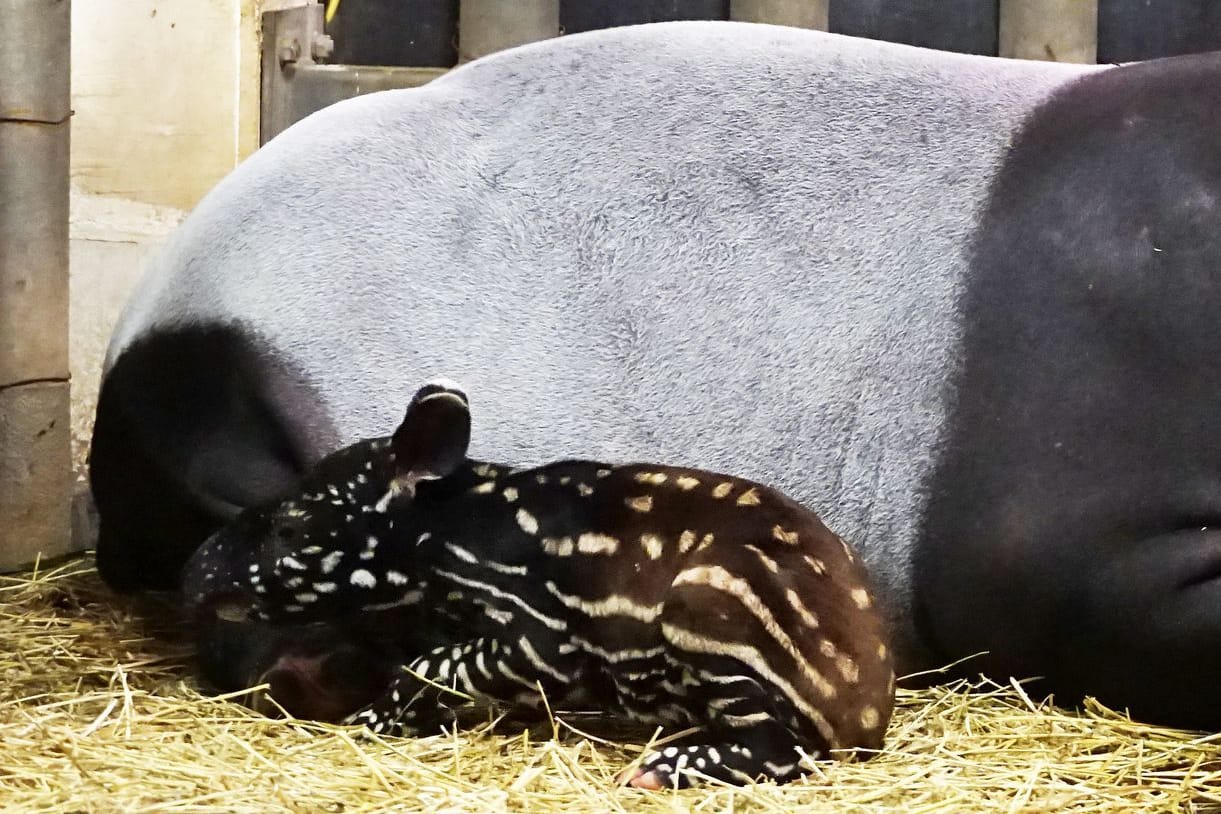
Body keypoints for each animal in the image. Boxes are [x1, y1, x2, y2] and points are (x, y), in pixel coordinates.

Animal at [180, 383, 893, 790]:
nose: (191, 576)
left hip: (713, 606)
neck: (460, 537)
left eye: (291, 526)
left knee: (790, 748)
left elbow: (429, 664)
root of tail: (871, 711)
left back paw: (659, 770)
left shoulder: (542, 639)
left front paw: (372, 718)